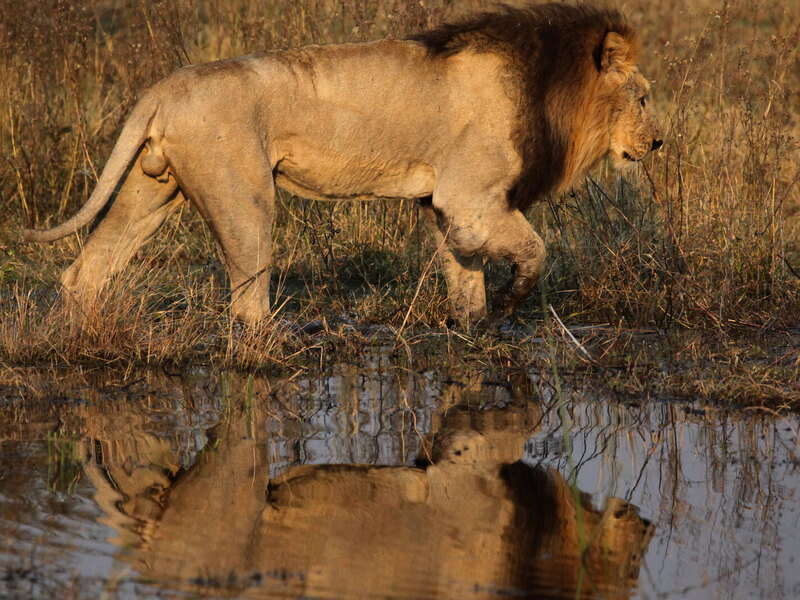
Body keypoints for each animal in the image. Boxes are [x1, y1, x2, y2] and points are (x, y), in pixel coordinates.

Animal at [22, 3, 662, 325]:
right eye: (644, 98)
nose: (657, 144)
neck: (554, 89)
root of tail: (162, 88)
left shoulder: (446, 208)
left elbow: (464, 278)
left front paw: (474, 330)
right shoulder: (471, 200)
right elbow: (535, 249)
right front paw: (510, 303)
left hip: (150, 189)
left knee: (86, 272)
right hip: (244, 199)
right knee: (247, 301)